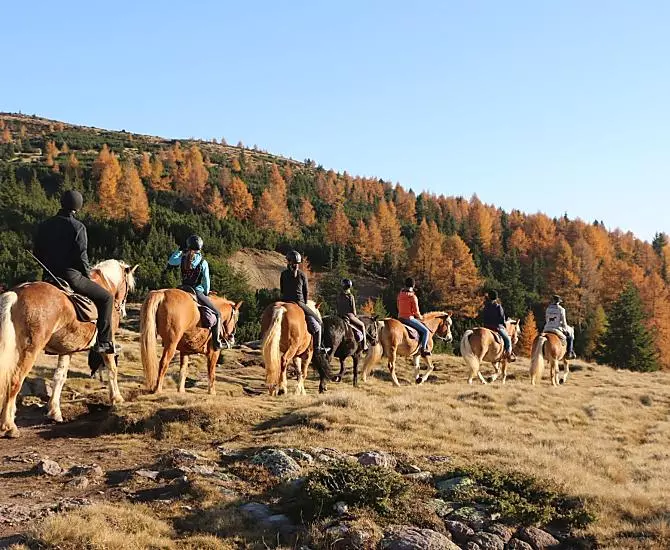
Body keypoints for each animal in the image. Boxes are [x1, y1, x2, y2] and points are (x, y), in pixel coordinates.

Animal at [0, 260, 138, 437]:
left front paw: (54, 412)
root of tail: (16, 294)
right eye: (129, 286)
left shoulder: (67, 350)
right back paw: (9, 426)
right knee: (15, 380)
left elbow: (60, 377)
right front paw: (117, 399)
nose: (123, 310)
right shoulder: (107, 341)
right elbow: (112, 369)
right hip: (30, 350)